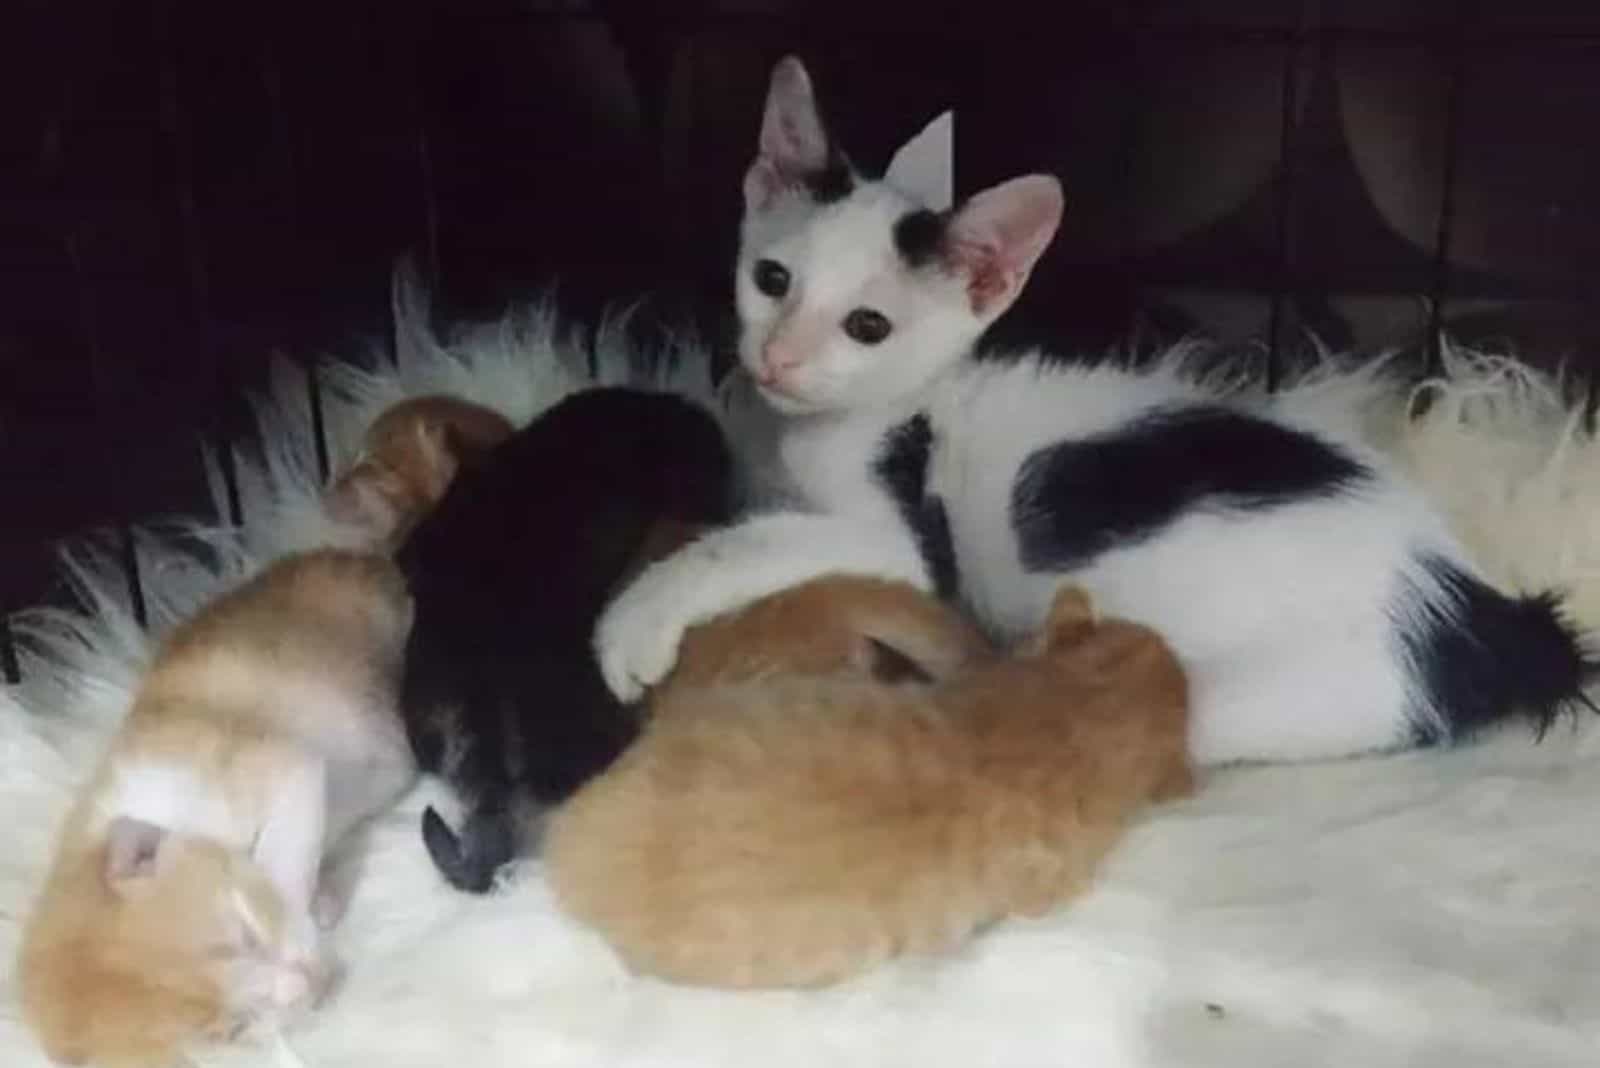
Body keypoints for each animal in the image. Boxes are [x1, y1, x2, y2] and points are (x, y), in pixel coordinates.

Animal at [18, 546, 416, 1061]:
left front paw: (303, 904)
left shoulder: (283, 769)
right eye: (232, 1030)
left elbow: (286, 855)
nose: (310, 986)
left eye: (244, 937)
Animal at [595, 56, 1593, 767]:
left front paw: (638, 619)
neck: (895, 405)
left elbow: (760, 542)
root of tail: (1482, 614)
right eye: (771, 279)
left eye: (868, 326)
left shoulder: (902, 537)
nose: (778, 358)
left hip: (1267, 688)